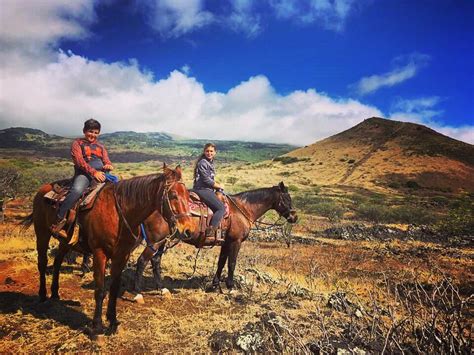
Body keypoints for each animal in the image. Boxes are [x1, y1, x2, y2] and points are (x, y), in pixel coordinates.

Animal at [20, 165, 194, 336]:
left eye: (187, 195)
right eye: (173, 195)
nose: (188, 230)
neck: (120, 214)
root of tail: (43, 189)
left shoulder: (121, 255)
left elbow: (114, 289)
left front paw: (112, 322)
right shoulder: (100, 253)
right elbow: (100, 289)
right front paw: (97, 326)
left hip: (66, 241)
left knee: (56, 263)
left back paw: (55, 294)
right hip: (42, 233)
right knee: (42, 263)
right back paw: (43, 295)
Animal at [133, 182, 296, 294]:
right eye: (287, 198)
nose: (295, 217)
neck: (242, 209)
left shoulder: (226, 243)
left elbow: (221, 263)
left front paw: (215, 285)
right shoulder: (235, 242)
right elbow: (232, 263)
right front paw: (230, 287)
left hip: (163, 240)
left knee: (155, 260)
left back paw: (161, 288)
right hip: (156, 240)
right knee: (142, 260)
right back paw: (137, 291)